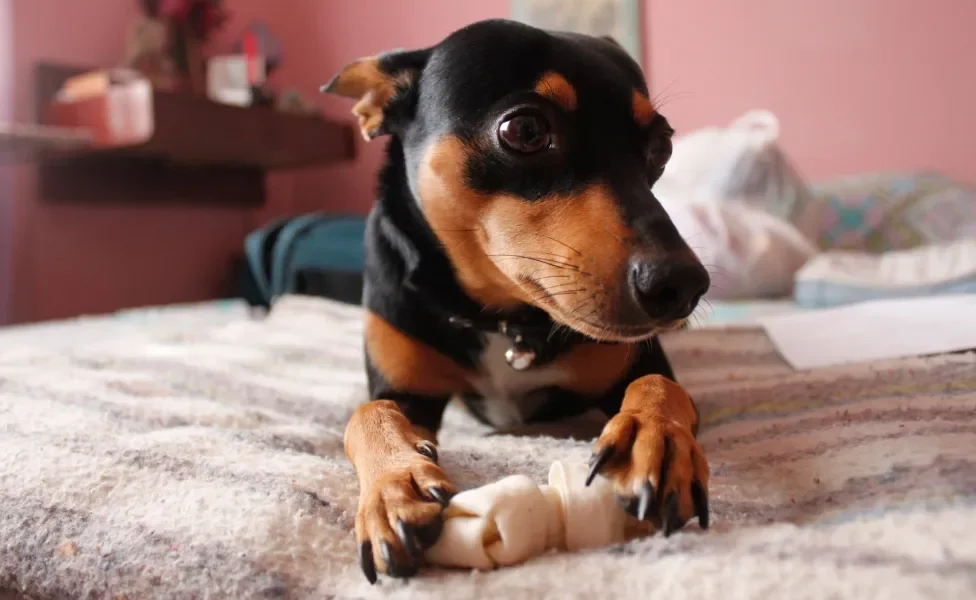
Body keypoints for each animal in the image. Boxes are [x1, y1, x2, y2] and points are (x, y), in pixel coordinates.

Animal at [324, 17, 712, 580]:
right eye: (525, 131)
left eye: (661, 147)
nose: (684, 285)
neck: (500, 322)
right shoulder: (405, 389)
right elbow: (368, 413)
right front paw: (394, 485)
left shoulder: (640, 361)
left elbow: (662, 384)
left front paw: (654, 436)